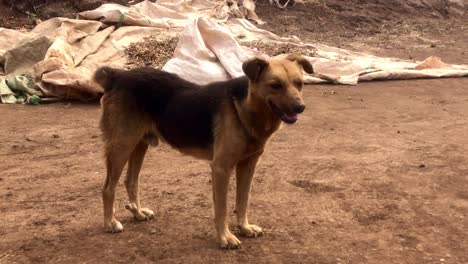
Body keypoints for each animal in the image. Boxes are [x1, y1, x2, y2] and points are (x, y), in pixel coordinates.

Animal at [94, 54, 314, 250]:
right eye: (275, 85)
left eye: (299, 84)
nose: (300, 107)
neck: (245, 108)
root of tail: (117, 75)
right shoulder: (221, 168)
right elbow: (222, 208)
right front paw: (225, 237)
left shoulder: (248, 165)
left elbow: (243, 200)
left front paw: (244, 227)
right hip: (121, 145)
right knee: (107, 188)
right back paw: (110, 223)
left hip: (139, 144)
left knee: (130, 181)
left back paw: (138, 212)